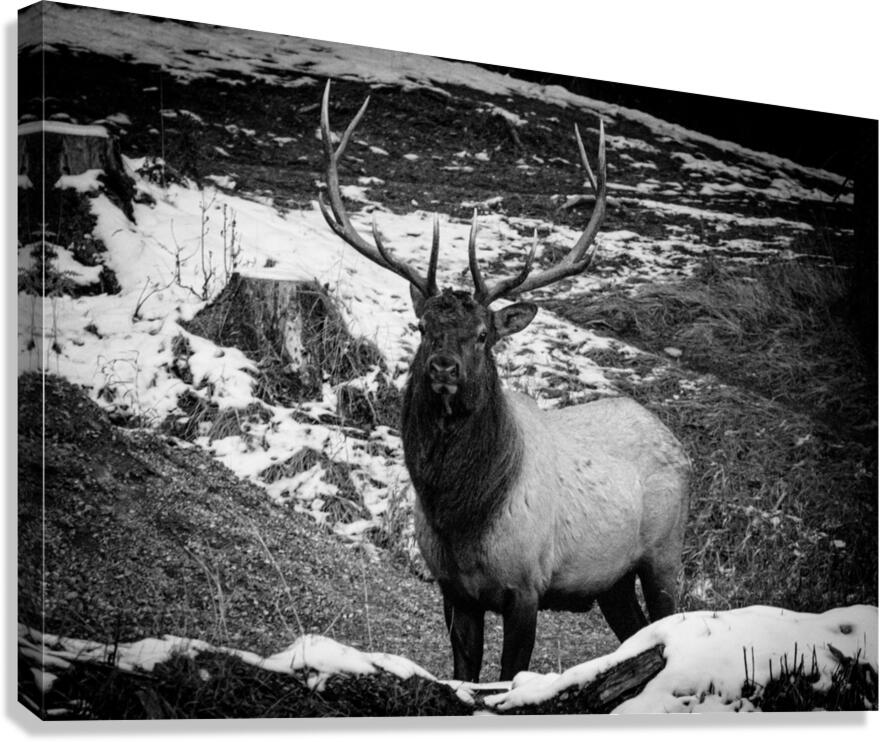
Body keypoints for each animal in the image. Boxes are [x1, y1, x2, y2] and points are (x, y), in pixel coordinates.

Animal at [317, 81, 691, 683]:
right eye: (423, 327)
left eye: (482, 335)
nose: (444, 367)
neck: (463, 518)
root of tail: (677, 442)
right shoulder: (453, 590)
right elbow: (463, 674)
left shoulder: (527, 586)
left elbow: (509, 675)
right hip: (610, 579)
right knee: (631, 633)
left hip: (665, 552)